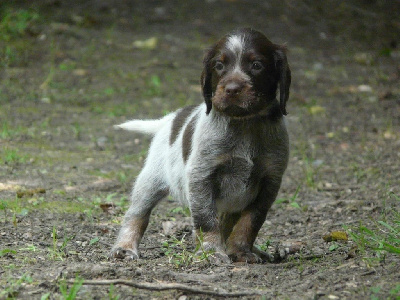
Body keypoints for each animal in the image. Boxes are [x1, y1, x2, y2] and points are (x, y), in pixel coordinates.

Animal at [109, 27, 290, 262]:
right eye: (219, 65)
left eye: (257, 65)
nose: (232, 89)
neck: (245, 124)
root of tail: (168, 120)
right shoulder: (202, 175)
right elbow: (206, 219)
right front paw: (211, 252)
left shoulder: (270, 181)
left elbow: (250, 222)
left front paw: (241, 250)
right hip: (150, 181)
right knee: (136, 214)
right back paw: (125, 246)